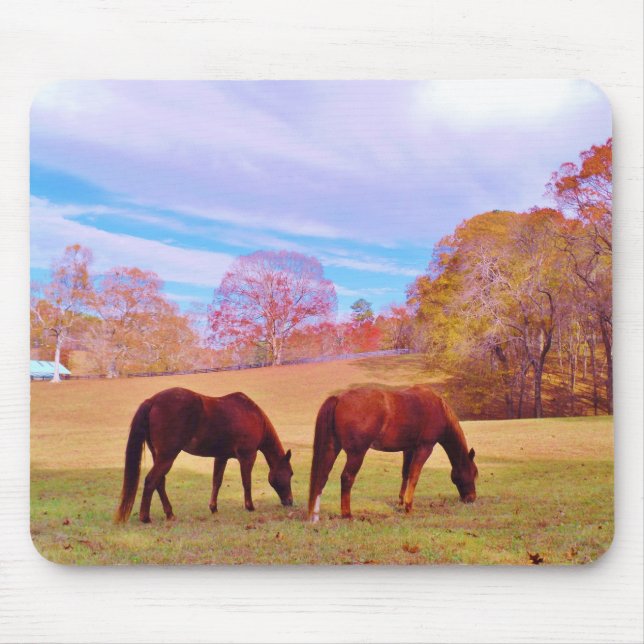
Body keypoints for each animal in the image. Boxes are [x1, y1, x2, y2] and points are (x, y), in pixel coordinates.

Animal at [115, 387, 293, 523]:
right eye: (290, 473)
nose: (290, 501)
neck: (253, 415)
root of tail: (152, 401)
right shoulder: (247, 457)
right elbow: (246, 482)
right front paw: (250, 506)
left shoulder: (221, 457)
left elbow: (217, 482)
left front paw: (213, 508)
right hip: (167, 456)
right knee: (151, 480)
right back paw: (145, 517)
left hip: (158, 456)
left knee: (159, 482)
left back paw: (170, 514)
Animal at [307, 384, 478, 522]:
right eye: (474, 473)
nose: (471, 498)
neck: (437, 407)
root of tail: (339, 398)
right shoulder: (424, 448)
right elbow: (414, 476)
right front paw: (408, 506)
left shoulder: (408, 449)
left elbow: (405, 474)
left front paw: (401, 502)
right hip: (356, 454)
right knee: (347, 478)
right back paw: (347, 514)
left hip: (332, 448)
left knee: (322, 476)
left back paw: (315, 514)